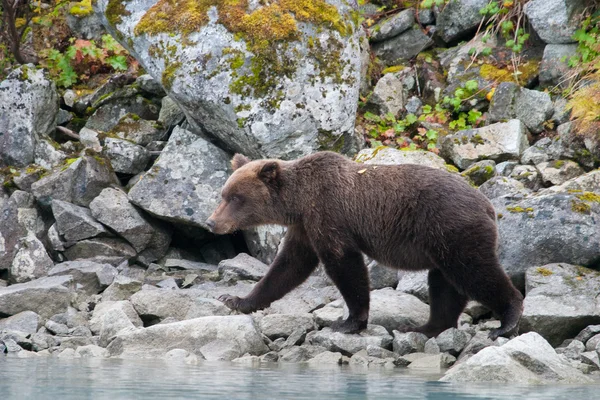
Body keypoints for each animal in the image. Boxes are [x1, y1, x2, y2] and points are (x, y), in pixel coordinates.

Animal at [207, 152, 524, 340]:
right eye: (224, 194)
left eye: (236, 198)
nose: (211, 222)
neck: (298, 202)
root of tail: (488, 205)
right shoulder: (305, 228)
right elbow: (287, 267)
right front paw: (236, 299)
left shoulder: (329, 214)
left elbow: (344, 265)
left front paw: (348, 321)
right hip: (441, 243)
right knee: (444, 284)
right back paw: (424, 327)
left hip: (451, 229)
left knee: (474, 272)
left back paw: (508, 318)